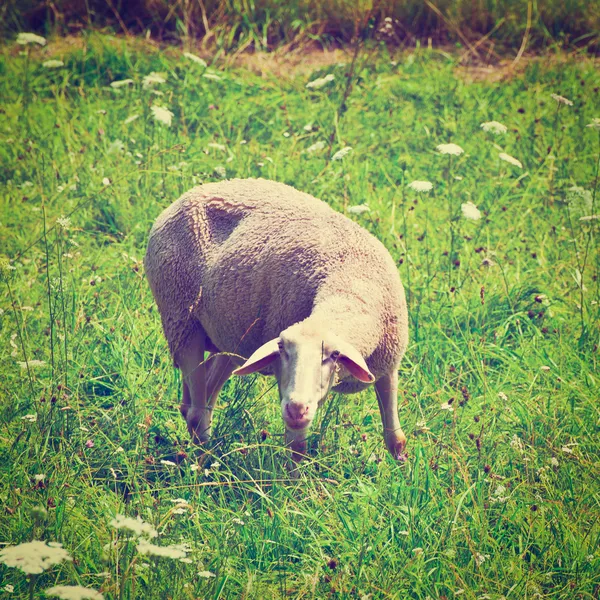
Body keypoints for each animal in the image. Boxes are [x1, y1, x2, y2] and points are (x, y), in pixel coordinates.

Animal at [143, 176, 410, 462]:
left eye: (334, 355)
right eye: (282, 351)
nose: (296, 409)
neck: (350, 285)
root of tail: (193, 192)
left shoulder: (388, 367)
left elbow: (396, 439)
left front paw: (401, 468)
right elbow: (297, 448)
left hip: (231, 336)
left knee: (200, 398)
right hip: (180, 318)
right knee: (196, 412)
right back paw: (205, 462)